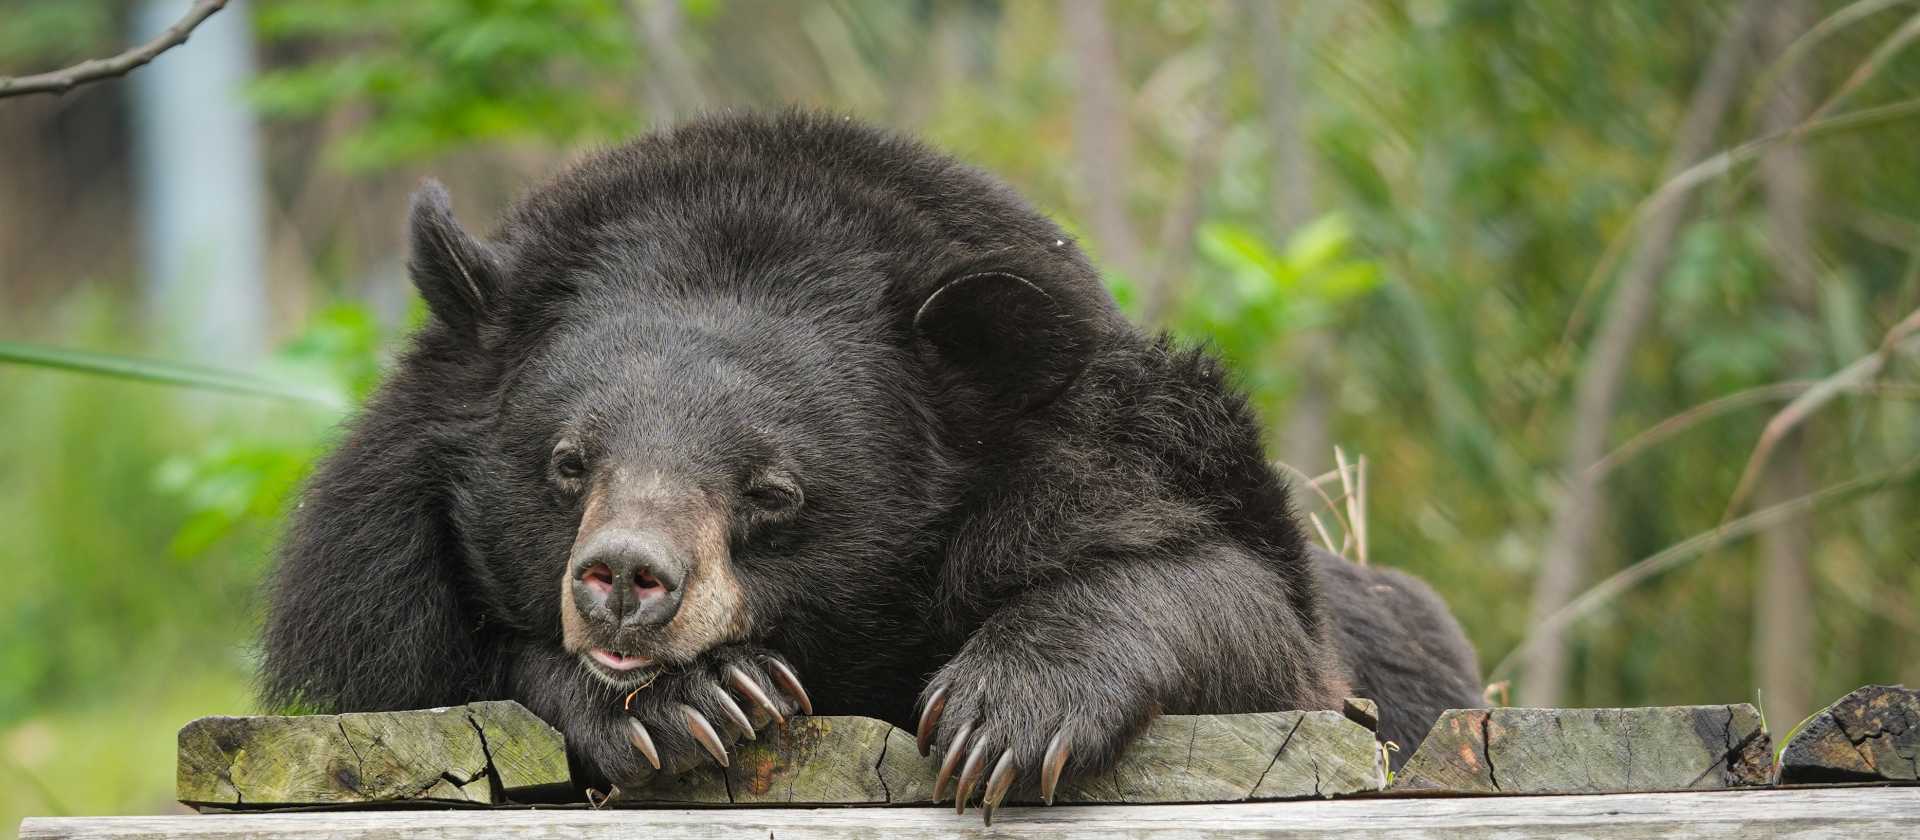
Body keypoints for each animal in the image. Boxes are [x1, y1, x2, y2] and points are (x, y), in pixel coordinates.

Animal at [261, 110, 1482, 822]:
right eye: (568, 463)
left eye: (772, 491)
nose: (625, 581)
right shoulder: (376, 568)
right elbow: (419, 660)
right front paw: (701, 702)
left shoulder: (1125, 462)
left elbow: (1234, 602)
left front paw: (1002, 721)